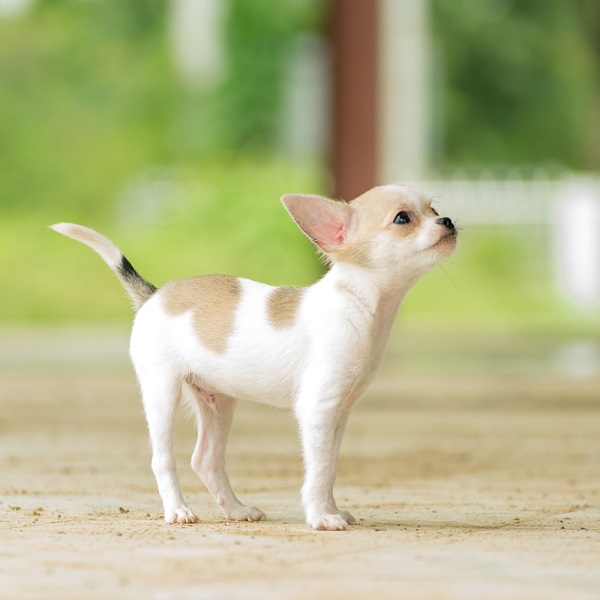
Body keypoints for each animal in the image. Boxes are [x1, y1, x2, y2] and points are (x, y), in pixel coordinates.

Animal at [52, 185, 454, 532]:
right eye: (403, 219)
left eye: (433, 209)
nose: (447, 220)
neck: (359, 306)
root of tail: (154, 294)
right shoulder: (318, 410)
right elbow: (319, 469)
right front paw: (322, 516)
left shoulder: (338, 413)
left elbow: (330, 467)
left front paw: (332, 509)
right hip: (161, 391)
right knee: (163, 459)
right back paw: (178, 510)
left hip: (217, 401)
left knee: (206, 459)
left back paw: (235, 509)